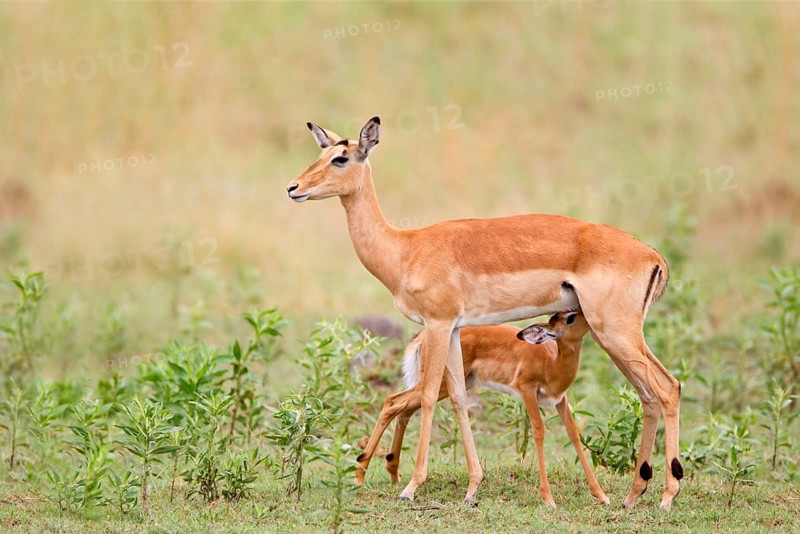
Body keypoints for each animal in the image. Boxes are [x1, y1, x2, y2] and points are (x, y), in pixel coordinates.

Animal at [355, 310, 610, 508]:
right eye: (569, 317)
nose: (591, 316)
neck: (551, 363)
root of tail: (421, 338)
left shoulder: (559, 400)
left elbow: (574, 434)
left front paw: (601, 495)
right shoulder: (527, 391)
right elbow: (539, 431)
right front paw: (548, 499)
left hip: (449, 386)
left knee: (402, 408)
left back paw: (392, 471)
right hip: (438, 384)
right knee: (392, 402)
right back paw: (362, 473)